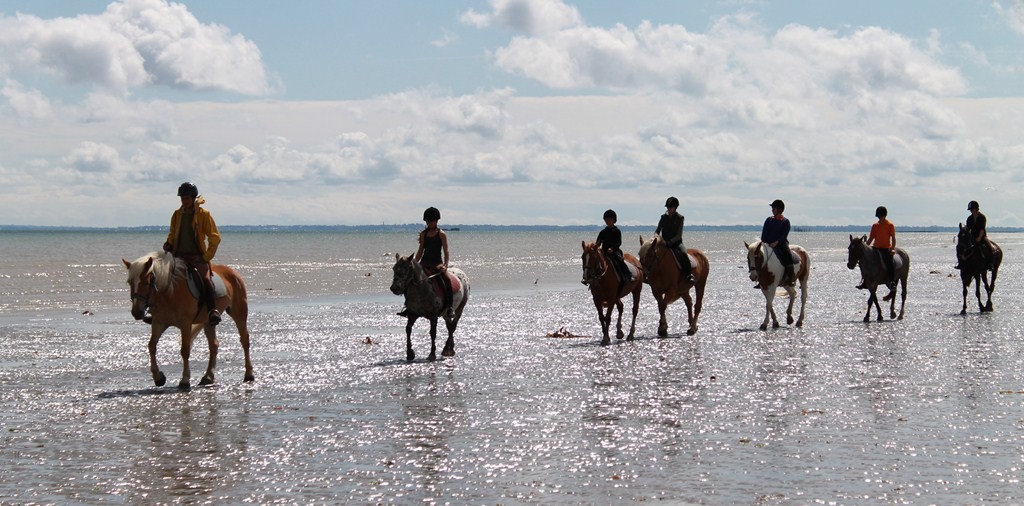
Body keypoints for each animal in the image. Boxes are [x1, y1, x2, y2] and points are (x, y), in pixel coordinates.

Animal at [122, 250, 256, 389]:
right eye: (130, 282)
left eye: (147, 282)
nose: (136, 312)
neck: (169, 292)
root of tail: (232, 271)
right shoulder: (159, 323)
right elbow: (152, 346)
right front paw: (158, 377)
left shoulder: (185, 323)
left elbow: (185, 350)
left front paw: (185, 380)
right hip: (208, 322)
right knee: (213, 345)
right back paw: (208, 377)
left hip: (239, 313)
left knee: (245, 340)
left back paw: (249, 374)